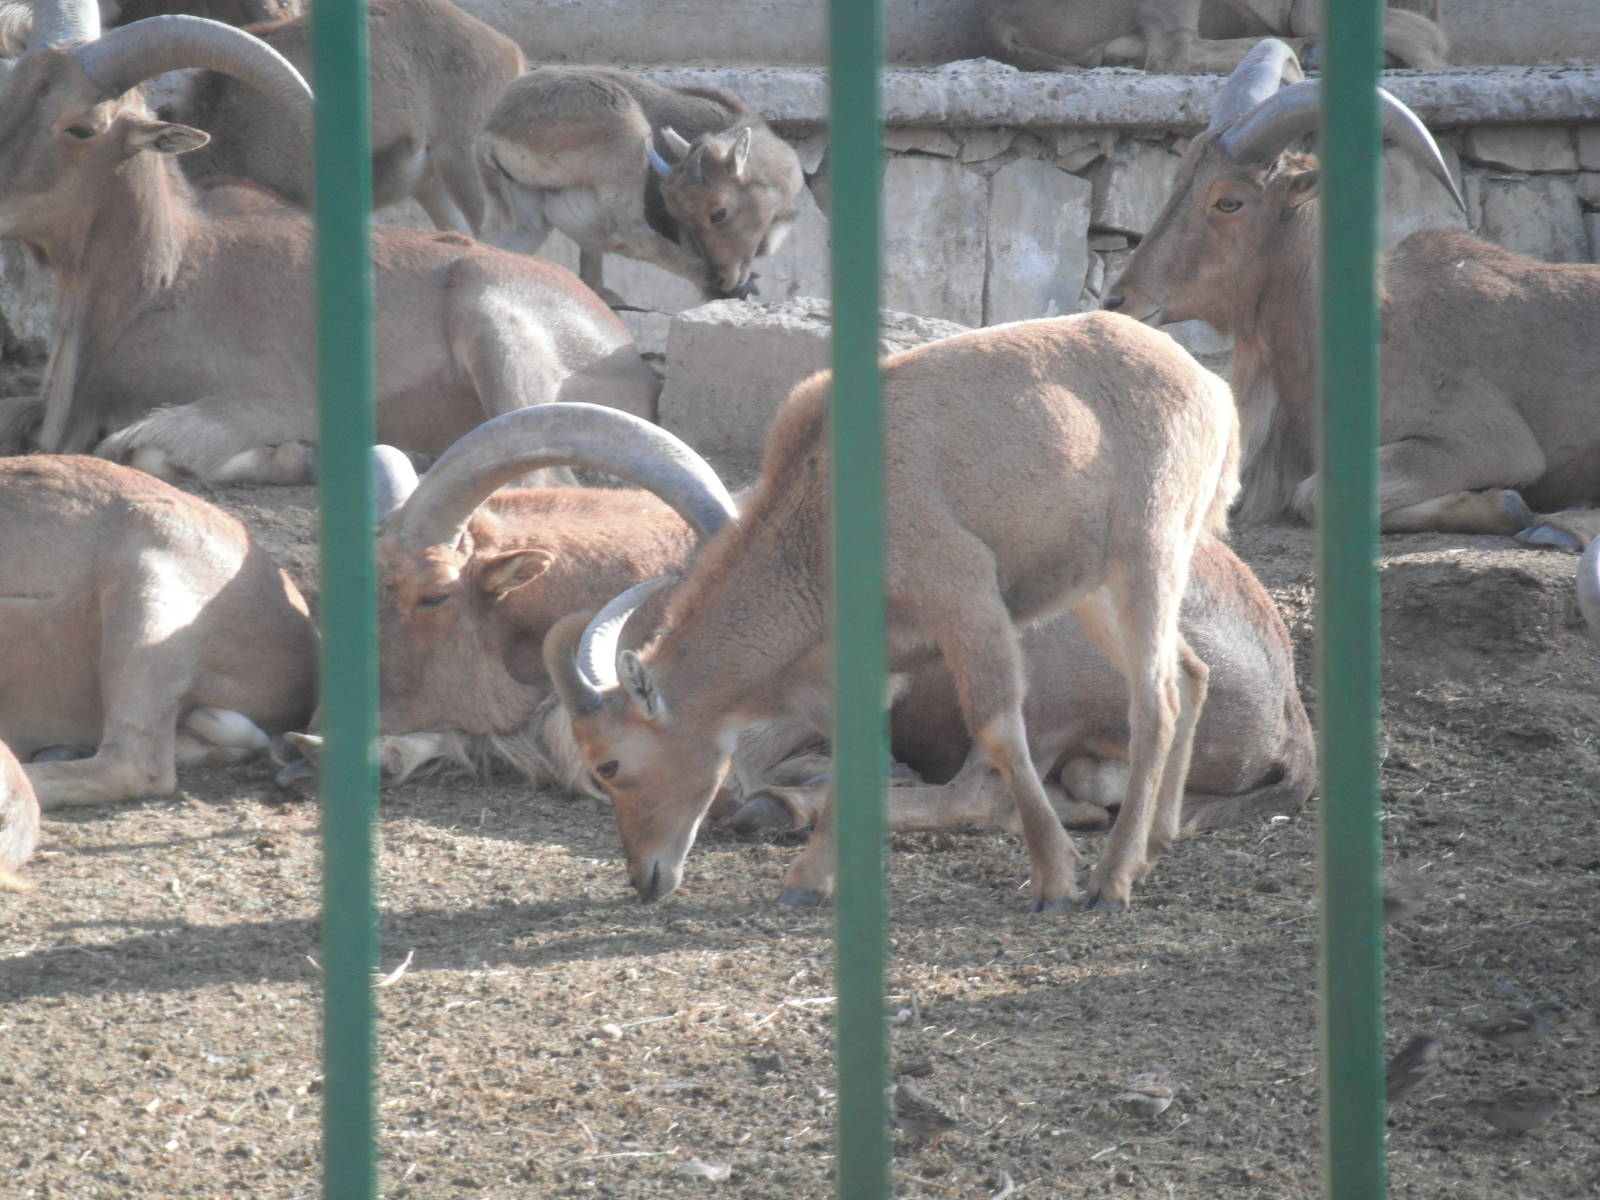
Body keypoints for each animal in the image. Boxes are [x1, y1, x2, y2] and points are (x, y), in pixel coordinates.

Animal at [479, 67, 805, 306]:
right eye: (718, 212)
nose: (722, 279)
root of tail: (494, 134)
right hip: (626, 140)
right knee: (631, 234)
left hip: (521, 215)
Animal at [543, 313, 1240, 913]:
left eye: (609, 764)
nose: (645, 878)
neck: (822, 513)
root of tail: (1210, 388)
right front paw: (807, 880)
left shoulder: (967, 600)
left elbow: (998, 731)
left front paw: (1053, 878)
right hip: (1093, 588)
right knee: (1190, 674)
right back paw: (1153, 847)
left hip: (1147, 553)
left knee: (1154, 699)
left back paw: (1111, 880)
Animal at [1106, 39, 1600, 535]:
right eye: (1179, 181)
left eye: (1229, 201)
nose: (1118, 298)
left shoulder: (1488, 442)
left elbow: (1314, 496)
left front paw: (1511, 507)